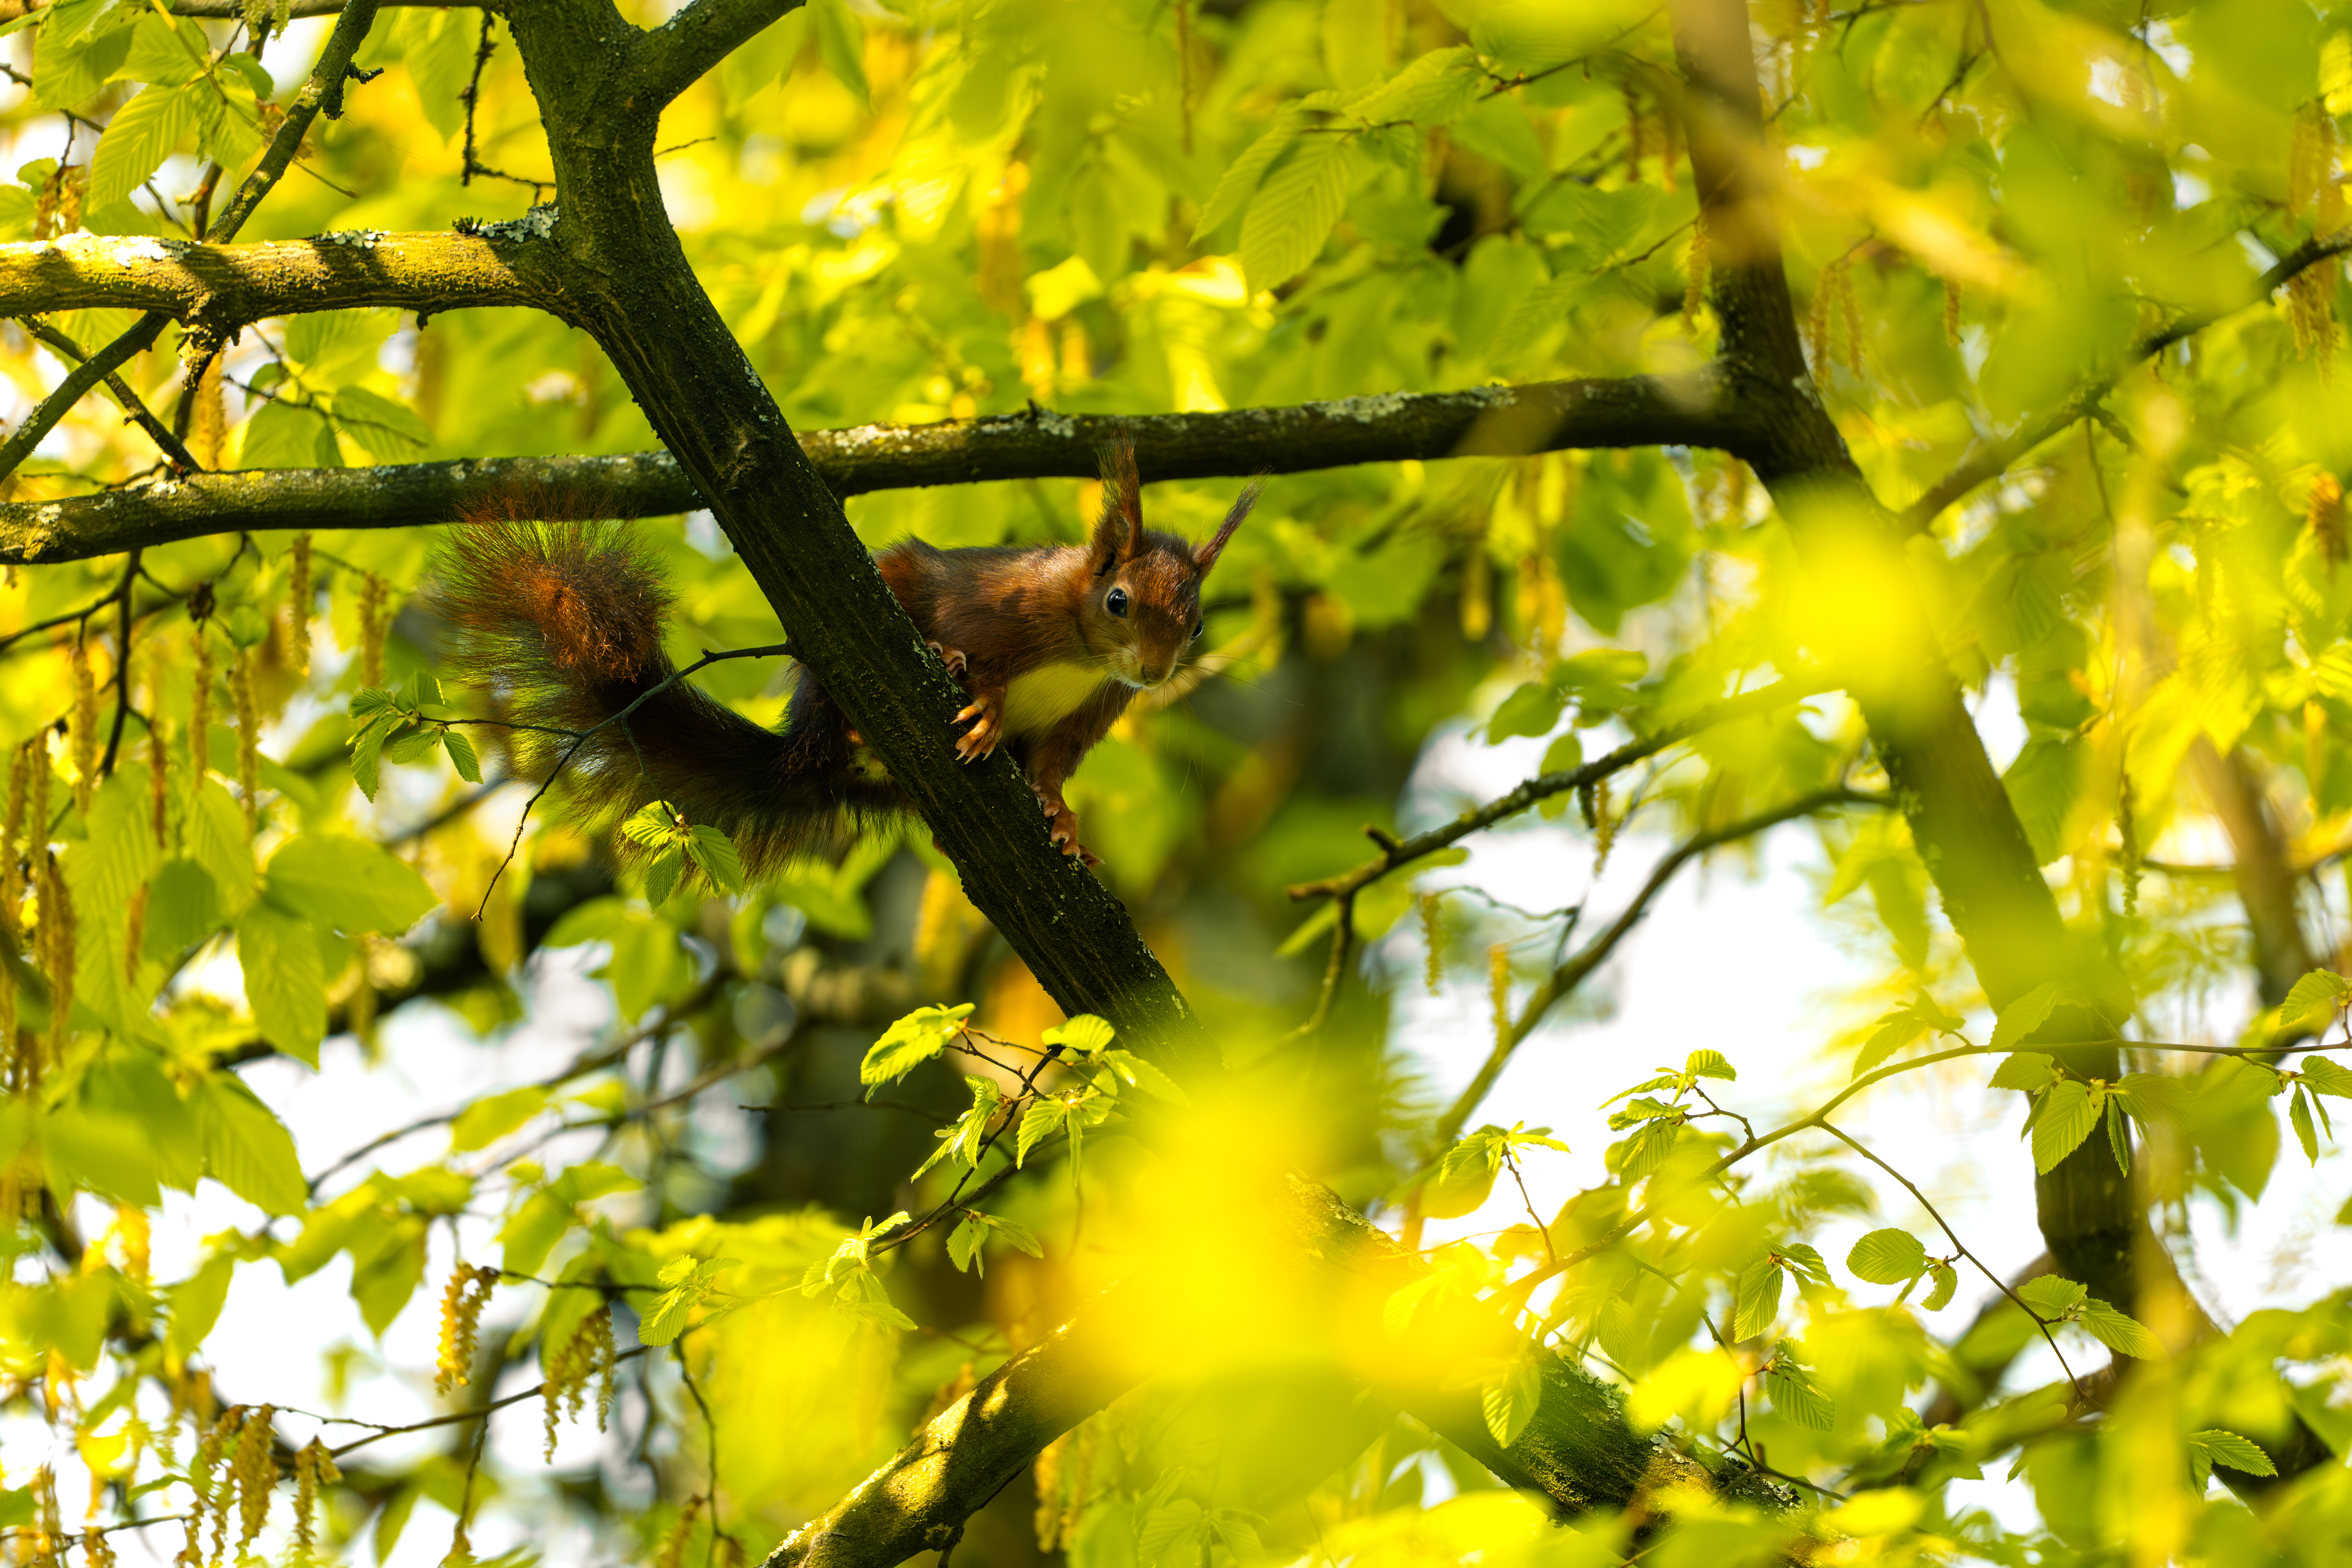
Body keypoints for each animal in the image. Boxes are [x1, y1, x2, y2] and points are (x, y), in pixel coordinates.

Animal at [428, 442, 1260, 871]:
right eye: (1118, 601)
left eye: (1196, 627)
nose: (1153, 672)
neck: (1084, 658)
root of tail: (810, 761)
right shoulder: (1002, 607)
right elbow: (984, 651)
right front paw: (984, 701)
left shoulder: (1091, 710)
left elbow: (1054, 764)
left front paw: (1061, 817)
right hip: (847, 653)